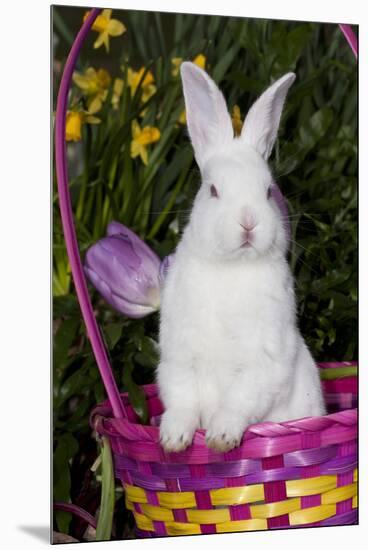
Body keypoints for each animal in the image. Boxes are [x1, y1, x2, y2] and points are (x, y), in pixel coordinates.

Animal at [155, 62, 324, 454]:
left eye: (268, 191)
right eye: (213, 190)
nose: (249, 221)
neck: (232, 267)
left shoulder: (263, 359)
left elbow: (238, 401)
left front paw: (220, 439)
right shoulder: (179, 356)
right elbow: (182, 399)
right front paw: (173, 440)